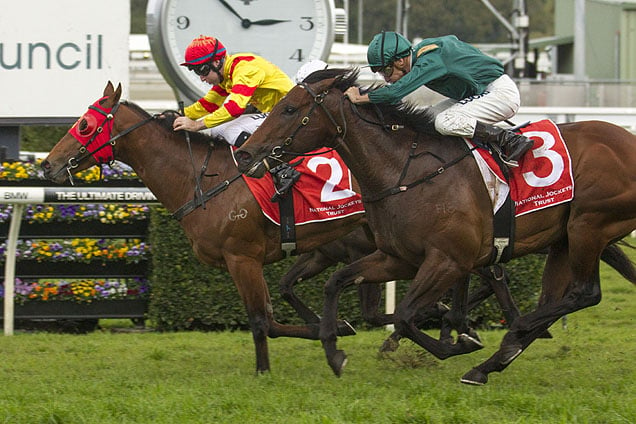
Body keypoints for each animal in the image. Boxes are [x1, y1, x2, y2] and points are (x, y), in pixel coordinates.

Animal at [234, 68, 636, 384]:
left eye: (289, 109)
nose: (246, 152)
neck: (405, 172)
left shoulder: (448, 260)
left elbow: (407, 316)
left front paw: (458, 341)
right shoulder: (398, 257)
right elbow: (337, 283)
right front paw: (334, 351)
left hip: (588, 225)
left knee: (584, 293)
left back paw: (509, 336)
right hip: (563, 239)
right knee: (555, 300)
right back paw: (492, 362)